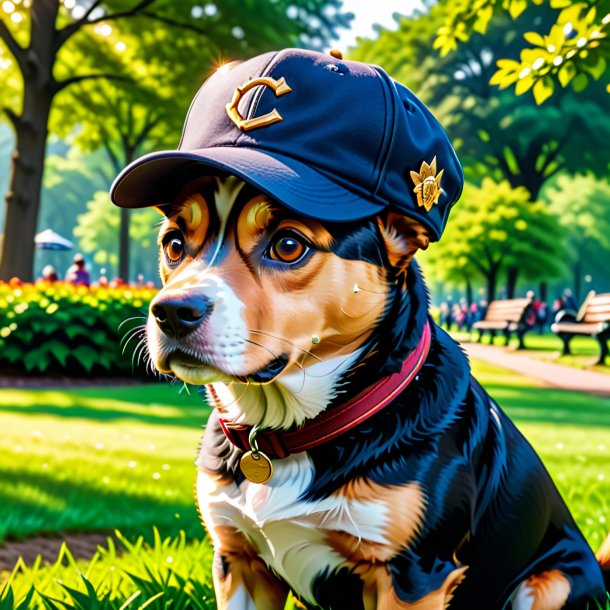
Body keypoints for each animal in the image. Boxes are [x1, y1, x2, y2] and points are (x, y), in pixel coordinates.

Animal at [110, 48, 608, 608]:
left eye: (288, 244)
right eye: (174, 243)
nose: (171, 312)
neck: (285, 430)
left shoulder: (412, 575)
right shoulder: (237, 559)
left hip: (547, 582)